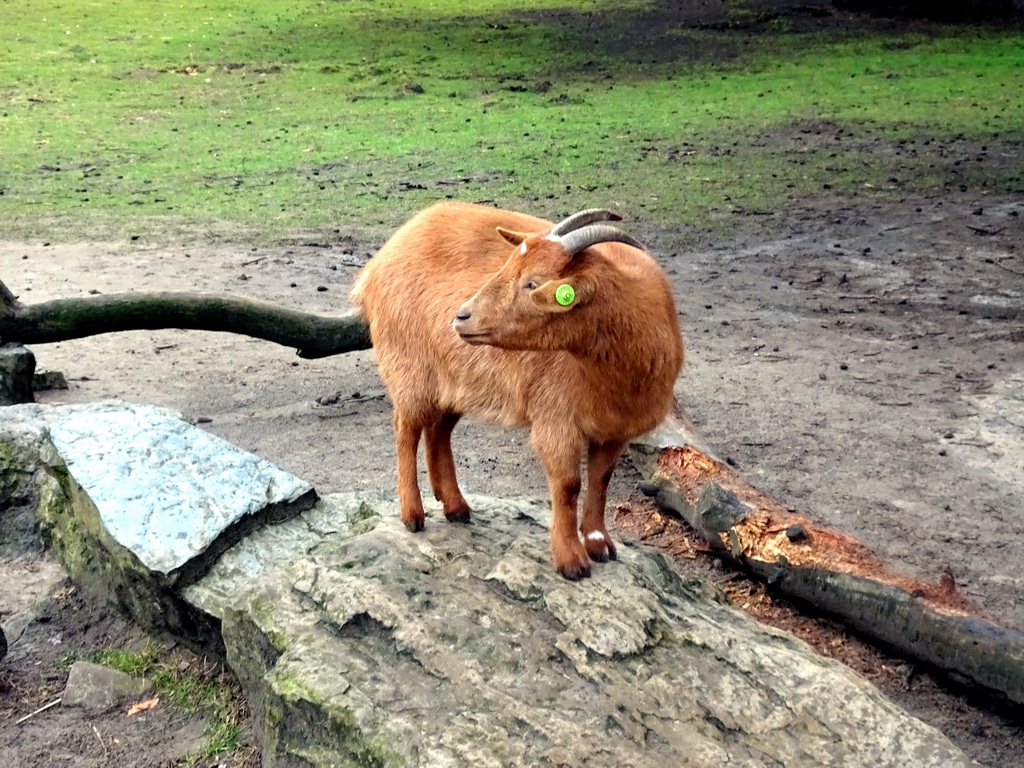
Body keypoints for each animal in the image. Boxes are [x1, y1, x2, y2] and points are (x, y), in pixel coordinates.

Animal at [350, 201, 679, 581]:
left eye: (532, 283)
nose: (461, 317)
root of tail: (375, 266)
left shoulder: (615, 432)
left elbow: (600, 480)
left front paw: (600, 544)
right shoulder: (555, 418)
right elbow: (568, 485)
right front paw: (571, 560)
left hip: (455, 381)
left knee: (438, 431)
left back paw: (455, 506)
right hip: (409, 369)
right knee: (406, 430)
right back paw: (412, 514)